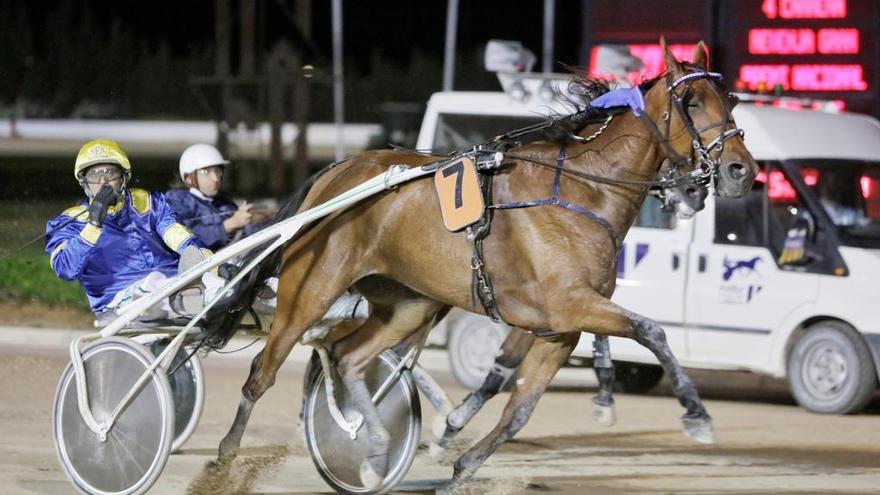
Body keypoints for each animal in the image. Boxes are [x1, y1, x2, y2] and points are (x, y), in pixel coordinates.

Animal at [205, 40, 756, 494]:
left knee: (350, 357)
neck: (583, 192)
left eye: (729, 100)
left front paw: (460, 466)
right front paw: (695, 412)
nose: (741, 171)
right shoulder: (572, 305)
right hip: (310, 290)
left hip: (409, 302)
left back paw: (376, 454)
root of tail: (338, 171)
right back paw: (222, 463)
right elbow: (651, 330)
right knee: (261, 374)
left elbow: (518, 410)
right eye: (690, 102)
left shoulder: (560, 329)